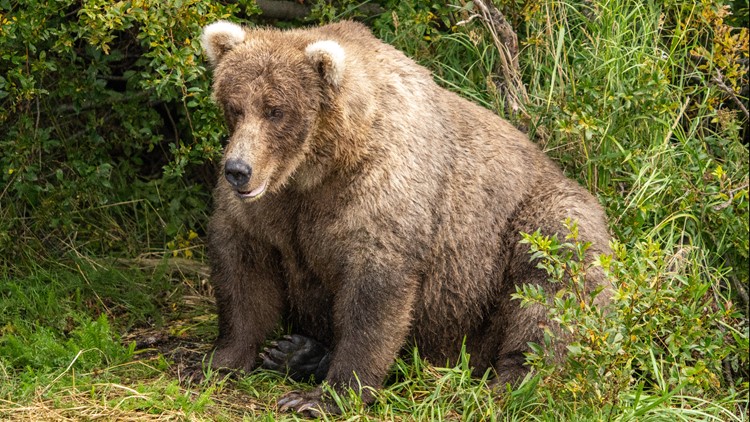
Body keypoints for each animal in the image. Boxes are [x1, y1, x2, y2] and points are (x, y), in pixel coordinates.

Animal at [200, 20, 611, 416]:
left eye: (276, 110)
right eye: (235, 106)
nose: (238, 170)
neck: (318, 168)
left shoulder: (380, 193)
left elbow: (374, 296)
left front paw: (322, 397)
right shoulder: (271, 210)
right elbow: (243, 271)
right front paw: (218, 362)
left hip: (531, 230)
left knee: (550, 290)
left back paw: (512, 383)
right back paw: (297, 352)